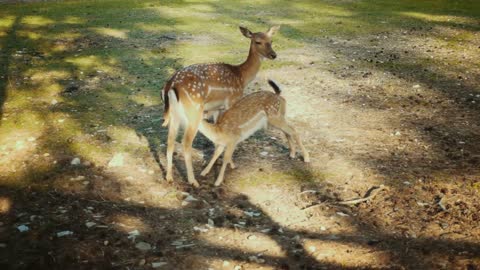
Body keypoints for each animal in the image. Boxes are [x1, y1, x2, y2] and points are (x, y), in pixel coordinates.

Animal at [162, 25, 280, 187]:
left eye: (271, 40)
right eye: (258, 41)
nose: (273, 55)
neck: (242, 77)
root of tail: (171, 85)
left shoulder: (217, 108)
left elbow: (217, 135)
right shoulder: (231, 101)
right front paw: (231, 164)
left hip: (174, 114)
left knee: (169, 141)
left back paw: (169, 177)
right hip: (194, 111)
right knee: (185, 143)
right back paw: (193, 181)